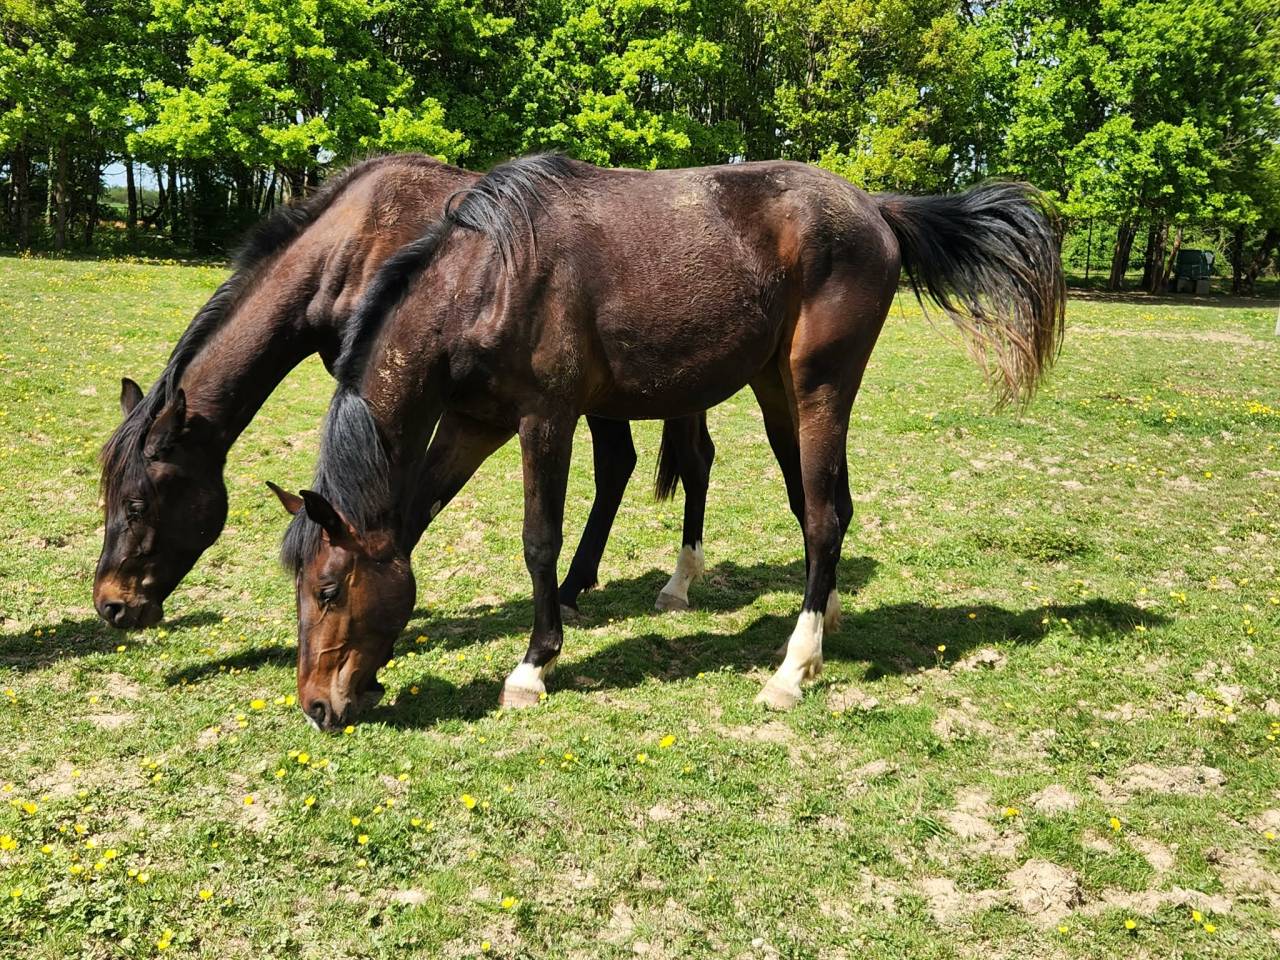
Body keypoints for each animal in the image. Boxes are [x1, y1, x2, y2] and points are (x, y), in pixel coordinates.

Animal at [94, 154, 716, 631]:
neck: (350, 246)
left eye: (137, 502)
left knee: (687, 461)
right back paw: (575, 585)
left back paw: (668, 586)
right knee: (622, 463)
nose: (112, 605)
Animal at [272, 154, 1065, 730]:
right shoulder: (475, 423)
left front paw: (534, 665)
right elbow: (414, 519)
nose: (317, 707)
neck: (489, 277)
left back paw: (790, 670)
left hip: (820, 387)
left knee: (822, 515)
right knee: (821, 504)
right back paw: (824, 623)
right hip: (777, 391)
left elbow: (539, 540)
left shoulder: (545, 420)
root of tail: (874, 208)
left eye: (329, 588)